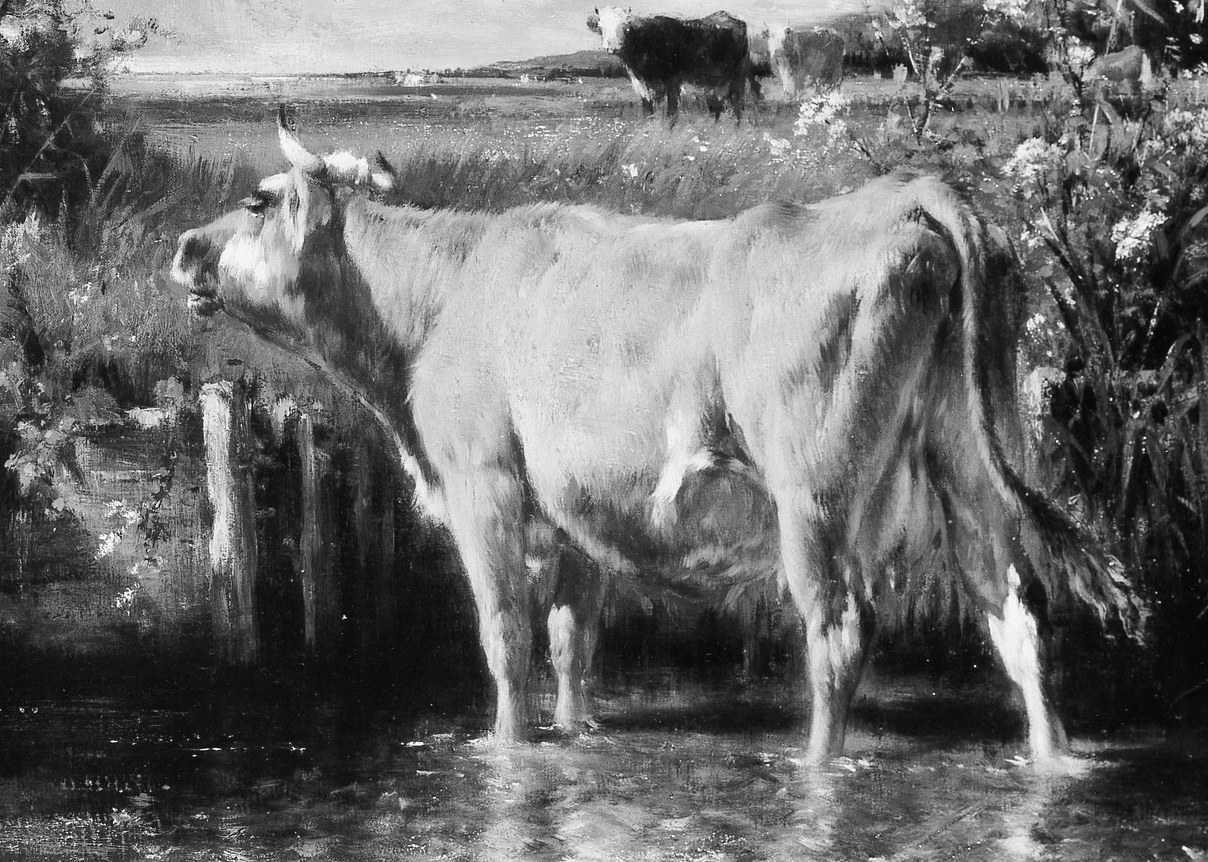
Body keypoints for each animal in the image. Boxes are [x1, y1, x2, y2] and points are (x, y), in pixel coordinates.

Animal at [172, 113, 1141, 767]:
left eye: (257, 201)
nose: (182, 246)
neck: (442, 297)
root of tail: (902, 194)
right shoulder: (575, 516)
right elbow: (572, 640)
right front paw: (577, 735)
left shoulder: (485, 486)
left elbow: (506, 639)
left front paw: (506, 751)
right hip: (964, 467)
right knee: (1018, 613)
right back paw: (1053, 762)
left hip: (813, 499)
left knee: (838, 633)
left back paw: (813, 768)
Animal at [586, 7, 750, 121]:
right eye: (601, 26)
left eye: (625, 26)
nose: (612, 46)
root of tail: (726, 16)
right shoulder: (640, 83)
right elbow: (648, 110)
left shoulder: (673, 82)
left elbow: (672, 112)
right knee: (718, 101)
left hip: (738, 75)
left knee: (736, 101)